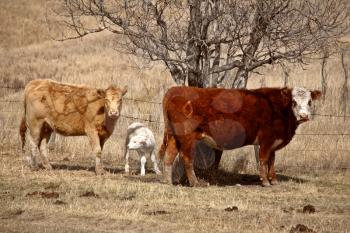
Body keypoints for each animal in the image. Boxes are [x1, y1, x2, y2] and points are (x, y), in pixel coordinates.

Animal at [160, 86, 322, 187]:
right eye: (293, 102)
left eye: (310, 102)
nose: (304, 116)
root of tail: (174, 89)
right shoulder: (266, 139)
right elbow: (264, 159)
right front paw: (265, 182)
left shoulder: (273, 141)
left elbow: (272, 160)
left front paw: (274, 180)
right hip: (187, 136)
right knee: (186, 158)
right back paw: (195, 183)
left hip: (175, 136)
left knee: (169, 155)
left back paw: (168, 181)